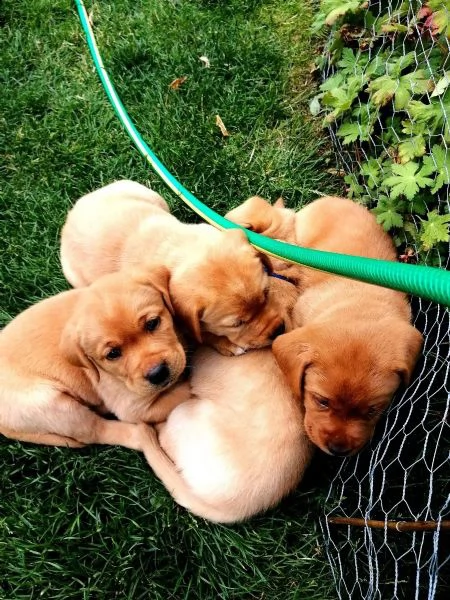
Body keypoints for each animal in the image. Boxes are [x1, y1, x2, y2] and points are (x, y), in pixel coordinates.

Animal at [0, 270, 187, 448]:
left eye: (152, 323)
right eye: (113, 354)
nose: (158, 373)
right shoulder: (133, 406)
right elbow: (179, 397)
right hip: (54, 405)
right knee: (100, 431)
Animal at [59, 180, 284, 354]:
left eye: (266, 293)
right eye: (237, 324)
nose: (279, 330)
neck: (182, 247)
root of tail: (73, 211)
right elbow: (199, 333)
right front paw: (227, 344)